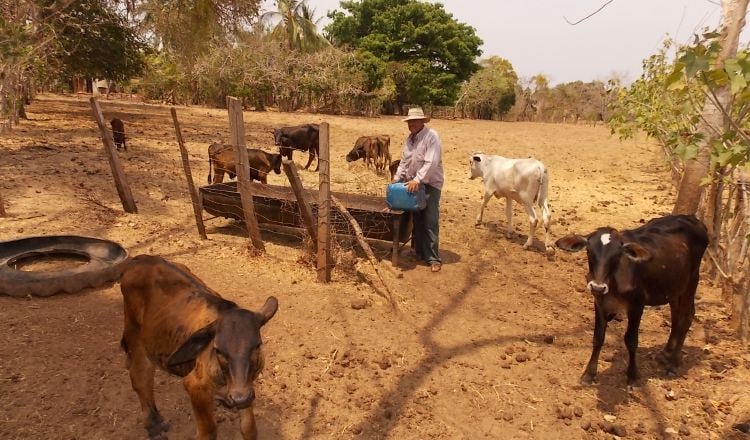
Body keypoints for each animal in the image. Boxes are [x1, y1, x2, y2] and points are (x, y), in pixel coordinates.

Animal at [120, 254, 280, 440]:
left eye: (257, 345)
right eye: (218, 350)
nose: (239, 398)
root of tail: (140, 258)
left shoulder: (247, 387)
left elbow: (249, 428)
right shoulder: (196, 386)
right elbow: (208, 432)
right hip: (134, 334)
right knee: (140, 374)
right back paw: (154, 425)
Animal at [560, 215, 712, 386]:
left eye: (617, 255)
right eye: (589, 251)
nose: (598, 286)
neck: (614, 282)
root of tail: (693, 219)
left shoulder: (637, 305)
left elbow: (631, 340)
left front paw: (632, 376)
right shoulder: (599, 302)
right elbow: (598, 337)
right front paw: (589, 374)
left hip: (692, 280)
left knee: (686, 317)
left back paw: (673, 364)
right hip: (674, 287)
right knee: (676, 316)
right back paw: (666, 353)